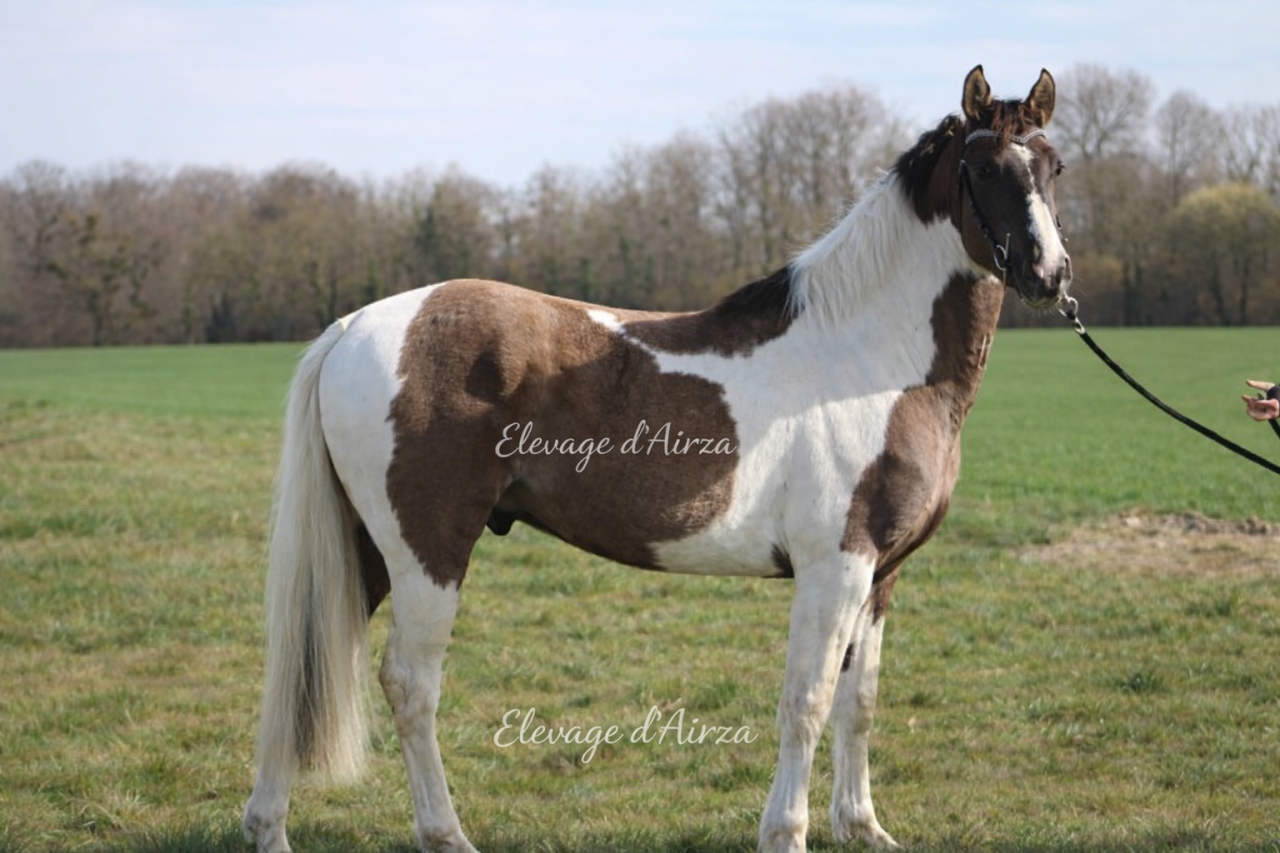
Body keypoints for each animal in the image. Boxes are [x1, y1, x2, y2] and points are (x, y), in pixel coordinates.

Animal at [243, 65, 1071, 853]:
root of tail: (351, 326)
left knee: (298, 670)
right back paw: (445, 833)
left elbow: (856, 701)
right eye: (985, 168)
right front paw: (786, 832)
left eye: (1054, 165)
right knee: (411, 684)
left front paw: (863, 825)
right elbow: (805, 702)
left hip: (365, 548)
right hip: (428, 552)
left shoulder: (880, 572)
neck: (870, 356)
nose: (1049, 275)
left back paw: (270, 827)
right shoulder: (834, 567)